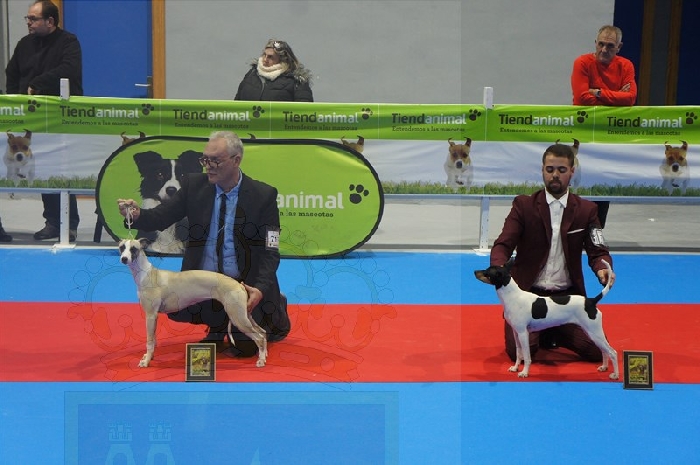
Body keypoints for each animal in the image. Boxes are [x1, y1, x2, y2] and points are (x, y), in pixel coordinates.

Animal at [118, 238, 268, 368]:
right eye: (121, 247)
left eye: (133, 249)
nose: (124, 259)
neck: (146, 274)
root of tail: (239, 284)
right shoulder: (154, 316)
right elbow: (153, 340)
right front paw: (149, 357)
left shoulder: (150, 315)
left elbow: (149, 341)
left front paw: (146, 362)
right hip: (245, 314)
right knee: (263, 332)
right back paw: (264, 356)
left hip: (238, 317)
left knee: (259, 337)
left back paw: (260, 362)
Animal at [474, 259, 618, 379]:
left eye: (487, 272)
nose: (474, 271)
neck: (513, 296)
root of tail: (591, 301)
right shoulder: (516, 333)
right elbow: (518, 353)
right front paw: (515, 368)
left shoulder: (523, 333)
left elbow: (526, 356)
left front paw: (524, 372)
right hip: (592, 333)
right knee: (604, 351)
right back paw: (604, 367)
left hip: (594, 332)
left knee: (612, 352)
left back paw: (615, 375)